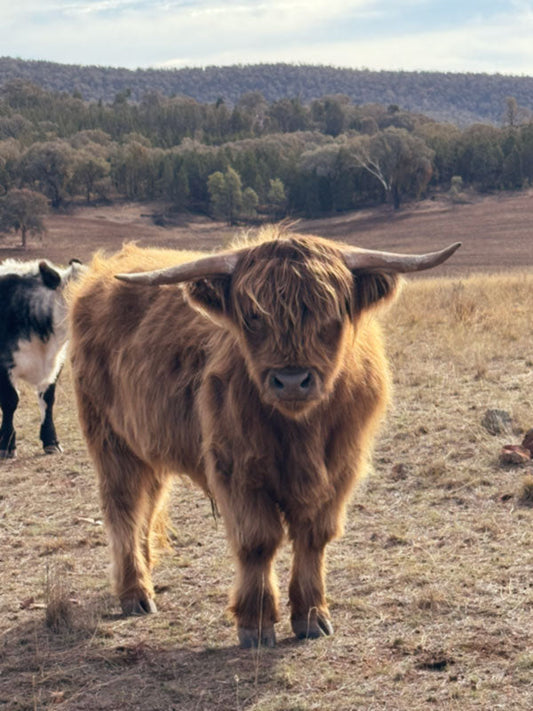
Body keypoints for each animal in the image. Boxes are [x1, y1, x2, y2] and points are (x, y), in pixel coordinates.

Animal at [0, 257, 84, 458]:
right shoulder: (3, 365)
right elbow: (10, 400)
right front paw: (7, 445)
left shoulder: (55, 364)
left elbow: (48, 400)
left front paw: (51, 441)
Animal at [68, 229, 460, 648]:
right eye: (254, 316)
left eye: (331, 315)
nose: (292, 380)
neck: (300, 431)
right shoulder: (237, 469)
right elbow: (258, 541)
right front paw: (255, 623)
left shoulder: (340, 468)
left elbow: (314, 537)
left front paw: (312, 615)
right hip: (110, 439)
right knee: (123, 506)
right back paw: (135, 592)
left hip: (148, 444)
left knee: (148, 503)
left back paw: (147, 572)